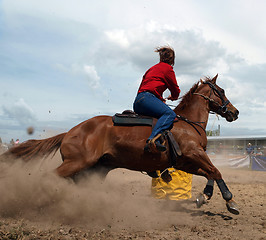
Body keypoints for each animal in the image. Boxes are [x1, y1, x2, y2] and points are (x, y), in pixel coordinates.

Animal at [3, 74, 239, 214]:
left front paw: (203, 196)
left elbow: (210, 173)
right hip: (76, 163)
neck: (188, 122)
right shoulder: (193, 154)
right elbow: (215, 171)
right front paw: (230, 201)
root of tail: (69, 132)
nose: (235, 112)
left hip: (95, 169)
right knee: (48, 177)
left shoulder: (184, 162)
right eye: (222, 91)